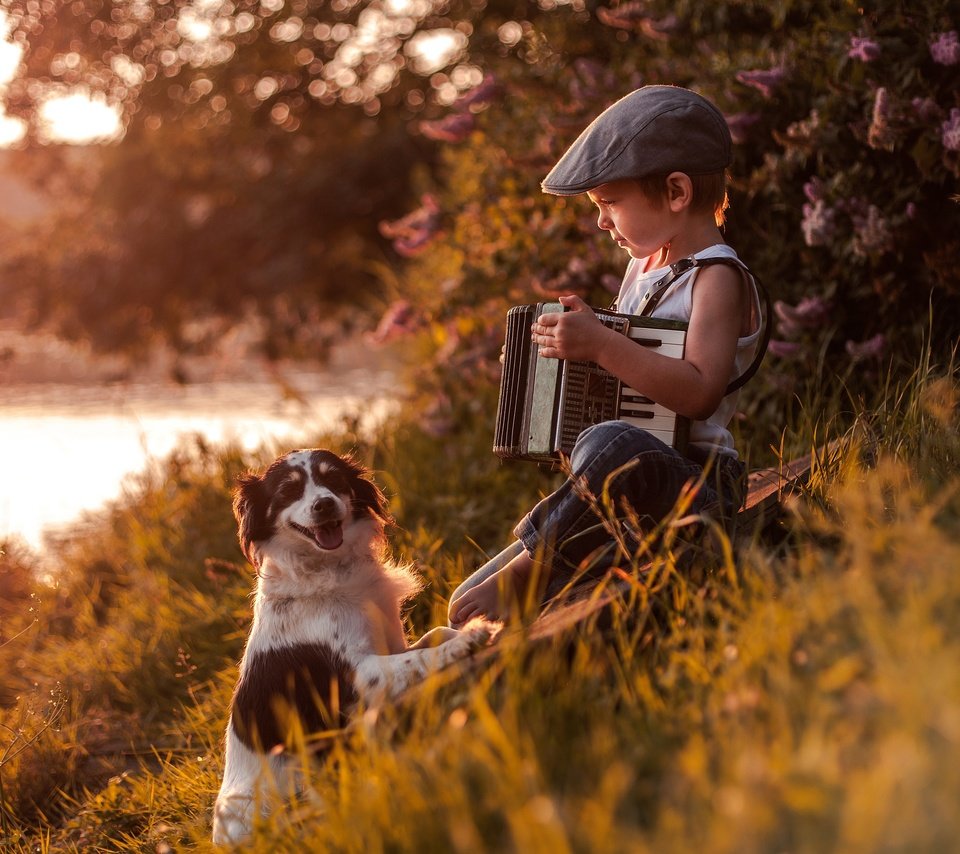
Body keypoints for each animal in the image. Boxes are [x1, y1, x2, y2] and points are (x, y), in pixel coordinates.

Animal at [214, 452, 492, 844]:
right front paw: (471, 638)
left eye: (333, 480)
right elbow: (420, 657)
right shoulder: (356, 675)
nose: (324, 504)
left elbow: (434, 635)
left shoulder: (390, 643)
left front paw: (468, 628)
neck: (330, 569)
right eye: (288, 491)